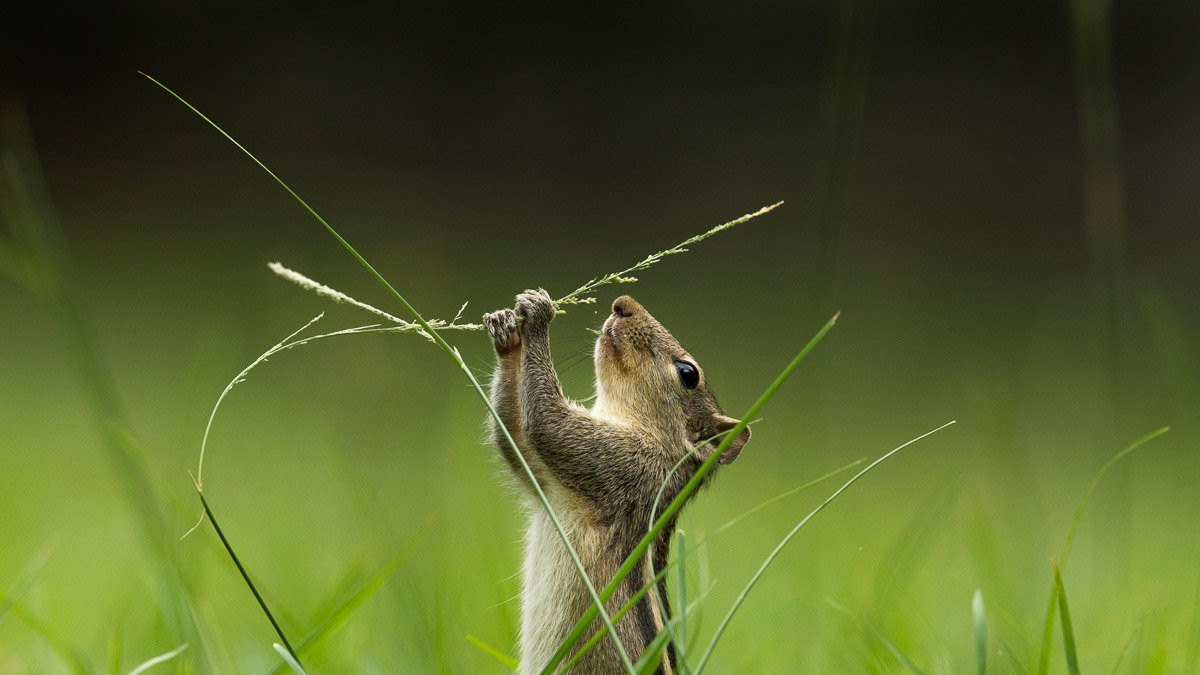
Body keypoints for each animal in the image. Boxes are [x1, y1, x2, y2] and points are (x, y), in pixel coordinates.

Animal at [480, 289, 744, 672]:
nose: (623, 302)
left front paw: (539, 315)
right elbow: (512, 433)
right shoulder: (546, 479)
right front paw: (507, 332)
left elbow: (545, 420)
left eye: (688, 372)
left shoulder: (624, 464)